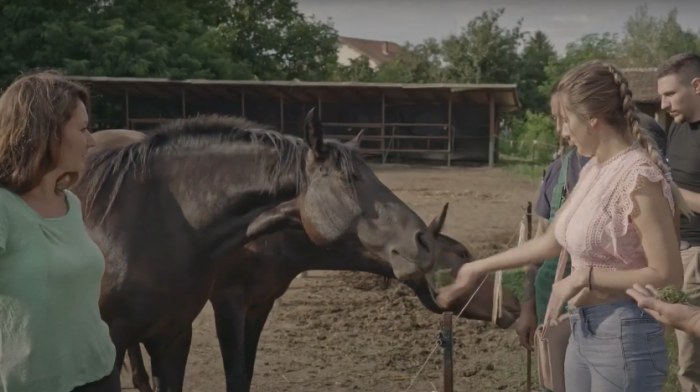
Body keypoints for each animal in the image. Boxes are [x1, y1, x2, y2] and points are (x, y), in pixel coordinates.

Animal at [74, 108, 440, 390]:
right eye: (351, 178)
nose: (423, 240)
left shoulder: (195, 328)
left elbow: (243, 376)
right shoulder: (227, 301)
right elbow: (235, 375)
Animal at [124, 205, 520, 392]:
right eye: (463, 253)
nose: (514, 304)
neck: (269, 238)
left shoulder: (260, 303)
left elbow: (246, 373)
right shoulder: (228, 302)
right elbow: (235, 376)